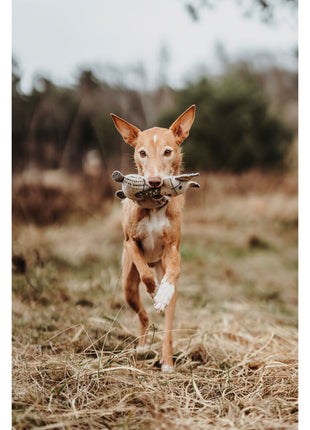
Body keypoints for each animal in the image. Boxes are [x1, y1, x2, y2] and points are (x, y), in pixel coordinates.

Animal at [110, 105, 195, 372]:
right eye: (142, 153)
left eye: (167, 152)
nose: (155, 182)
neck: (155, 204)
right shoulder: (130, 242)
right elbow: (146, 274)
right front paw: (153, 289)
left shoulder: (173, 248)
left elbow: (175, 270)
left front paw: (162, 291)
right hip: (127, 286)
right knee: (142, 316)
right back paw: (143, 345)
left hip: (165, 273)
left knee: (167, 329)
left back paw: (166, 362)